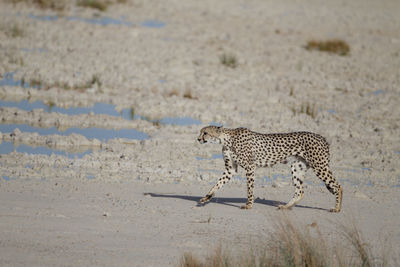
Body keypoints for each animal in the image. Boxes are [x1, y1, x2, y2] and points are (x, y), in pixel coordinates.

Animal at [197, 126, 344, 214]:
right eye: (201, 132)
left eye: (205, 133)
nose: (198, 139)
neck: (226, 139)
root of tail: (322, 138)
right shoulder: (231, 169)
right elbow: (218, 183)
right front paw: (206, 197)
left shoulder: (250, 167)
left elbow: (250, 189)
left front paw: (249, 205)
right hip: (297, 166)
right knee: (300, 191)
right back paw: (285, 206)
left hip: (319, 166)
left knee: (338, 186)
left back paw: (337, 208)